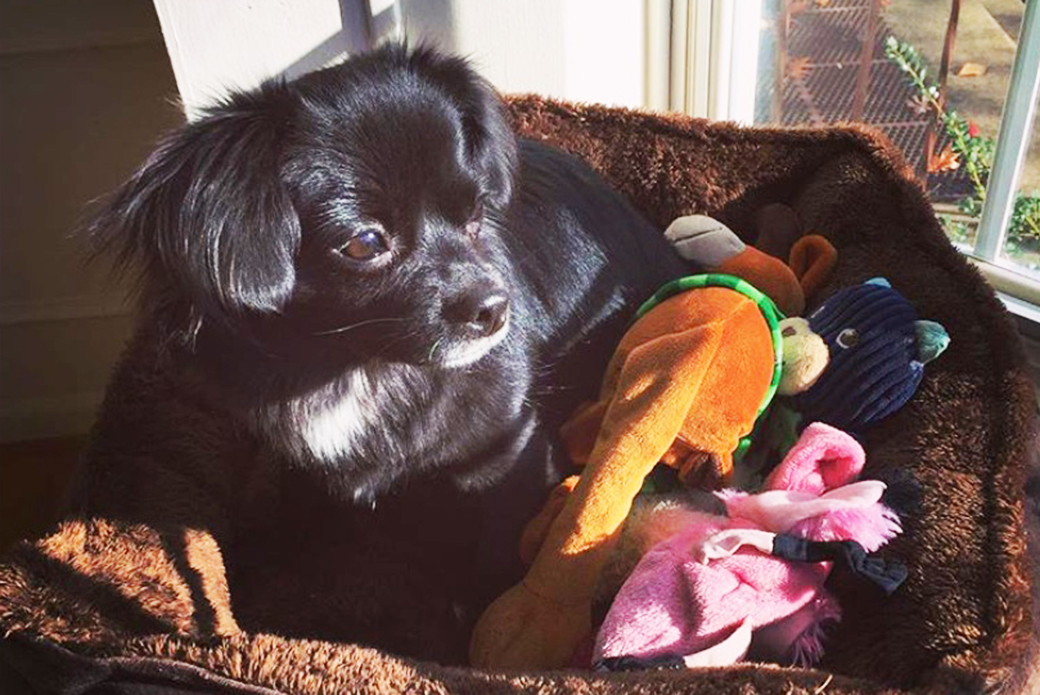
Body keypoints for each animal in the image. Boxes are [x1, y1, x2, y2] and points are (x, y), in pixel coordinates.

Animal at [79, 46, 690, 665]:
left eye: (476, 217)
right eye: (364, 243)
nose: (495, 308)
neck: (356, 362)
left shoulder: (510, 452)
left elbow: (494, 561)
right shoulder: (302, 462)